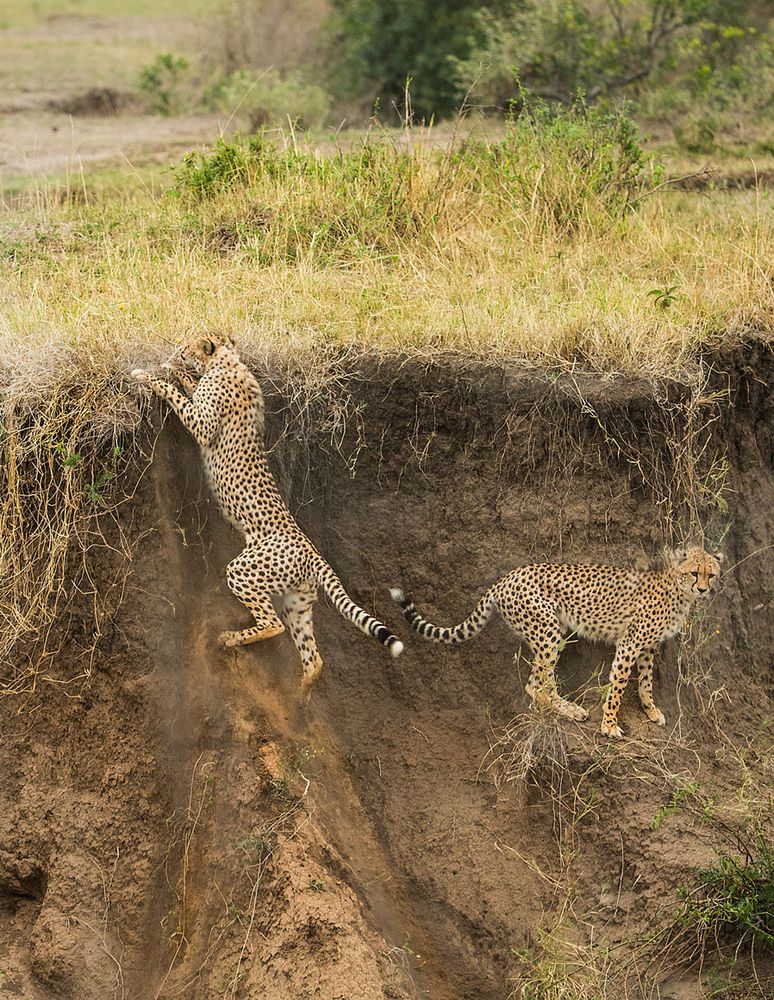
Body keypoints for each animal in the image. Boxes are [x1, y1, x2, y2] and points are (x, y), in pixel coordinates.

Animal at [132, 332, 406, 692]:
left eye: (184, 347)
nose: (176, 352)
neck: (229, 360)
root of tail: (312, 550)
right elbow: (189, 386)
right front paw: (175, 372)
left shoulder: (202, 423)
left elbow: (178, 396)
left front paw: (151, 375)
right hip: (297, 602)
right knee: (313, 658)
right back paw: (300, 696)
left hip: (245, 570)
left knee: (272, 623)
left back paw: (232, 639)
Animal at [394, 548, 720, 736]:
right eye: (694, 573)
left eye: (711, 574)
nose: (704, 590)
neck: (678, 590)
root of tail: (507, 577)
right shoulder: (629, 643)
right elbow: (617, 687)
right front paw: (609, 725)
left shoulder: (648, 647)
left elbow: (645, 682)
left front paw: (651, 710)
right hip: (548, 629)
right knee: (537, 685)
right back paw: (570, 710)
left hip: (551, 630)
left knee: (535, 683)